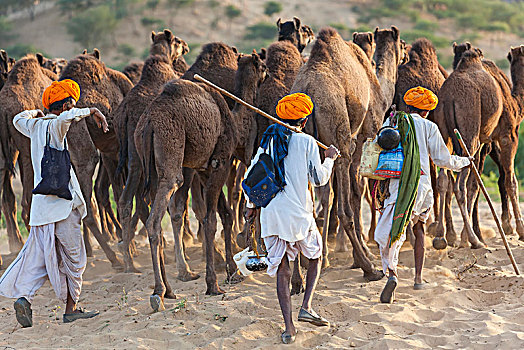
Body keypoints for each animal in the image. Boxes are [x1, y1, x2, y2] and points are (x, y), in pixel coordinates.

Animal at [115, 28, 190, 272]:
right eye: (177, 41)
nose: (186, 46)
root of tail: (125, 113)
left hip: (133, 155)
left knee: (125, 199)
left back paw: (129, 263)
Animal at [135, 51, 266, 308]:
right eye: (262, 66)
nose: (267, 71)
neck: (233, 120)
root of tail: (149, 123)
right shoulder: (220, 163)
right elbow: (210, 220)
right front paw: (213, 285)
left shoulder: (205, 169)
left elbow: (225, 215)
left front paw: (233, 272)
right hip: (171, 150)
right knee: (155, 219)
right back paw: (158, 292)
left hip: (151, 167)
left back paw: (169, 290)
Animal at [290, 26, 402, 280]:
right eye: (403, 44)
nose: (406, 52)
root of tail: (307, 90)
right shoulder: (365, 134)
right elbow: (357, 189)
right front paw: (363, 254)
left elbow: (327, 194)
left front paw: (323, 257)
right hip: (338, 133)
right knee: (344, 209)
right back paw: (368, 267)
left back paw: (301, 270)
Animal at [430, 49, 504, 249]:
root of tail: (450, 97)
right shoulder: (481, 140)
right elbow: (474, 184)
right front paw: (466, 238)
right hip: (469, 132)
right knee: (460, 185)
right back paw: (473, 239)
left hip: (443, 130)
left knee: (442, 179)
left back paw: (440, 238)